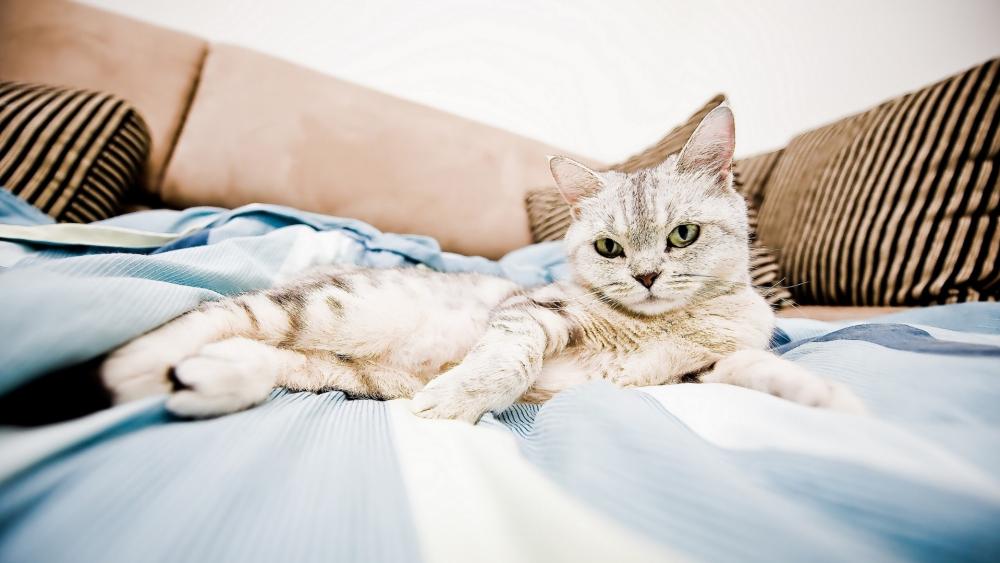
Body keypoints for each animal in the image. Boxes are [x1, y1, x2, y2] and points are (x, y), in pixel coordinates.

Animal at [105, 107, 864, 424]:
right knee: (185, 327)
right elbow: (508, 359)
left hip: (331, 369)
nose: (647, 276)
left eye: (682, 235)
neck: (666, 327)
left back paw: (209, 381)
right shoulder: (532, 314)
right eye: (609, 249)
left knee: (249, 354)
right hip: (313, 308)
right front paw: (458, 397)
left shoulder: (694, 373)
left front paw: (825, 397)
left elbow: (755, 369)